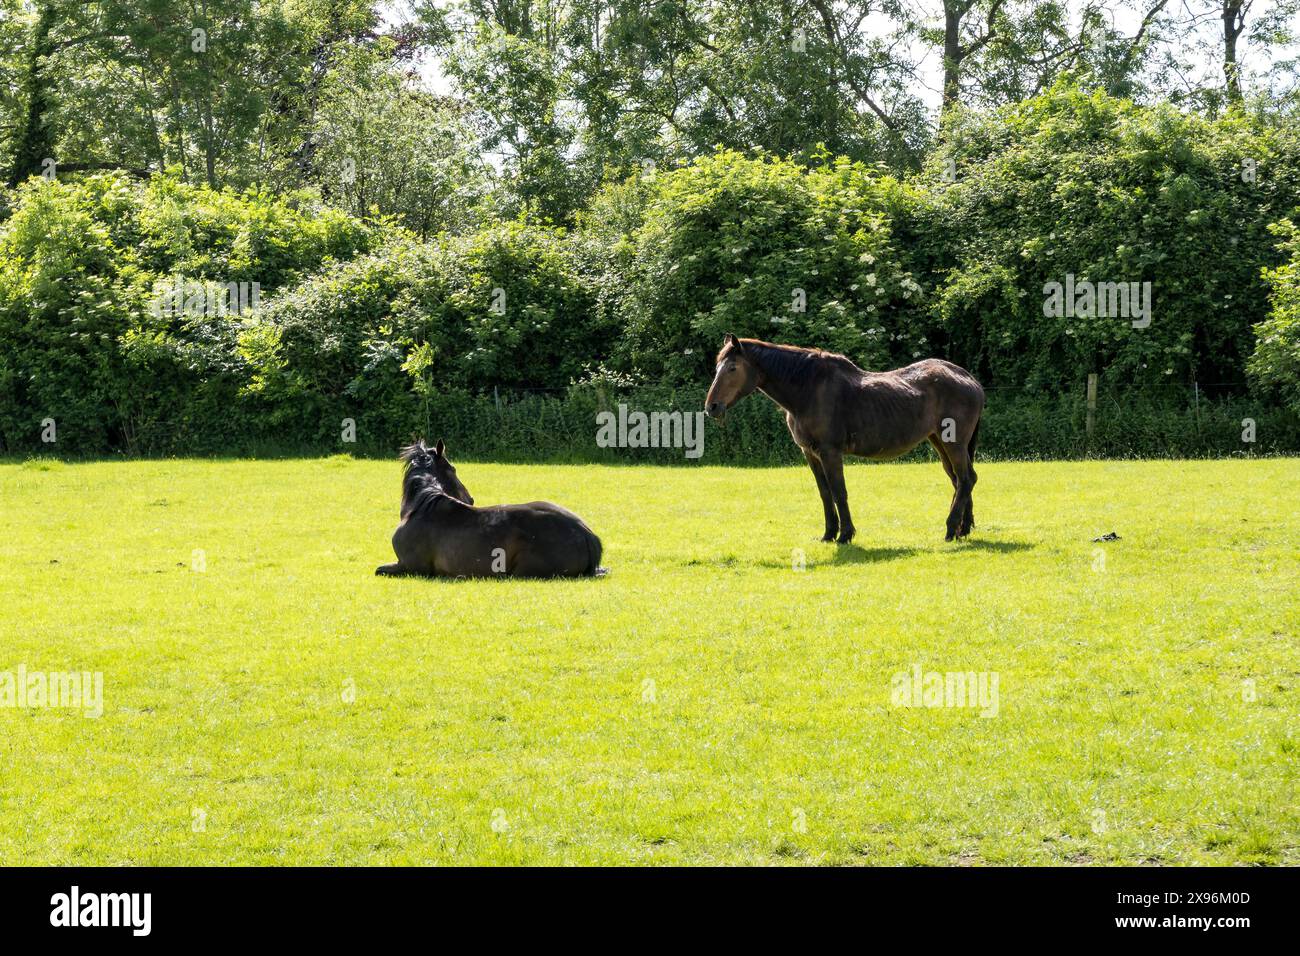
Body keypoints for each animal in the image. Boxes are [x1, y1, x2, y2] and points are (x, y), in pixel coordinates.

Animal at [707, 335, 987, 546]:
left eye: (732, 368)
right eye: (717, 368)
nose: (712, 407)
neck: (808, 389)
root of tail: (970, 380)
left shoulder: (830, 452)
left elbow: (838, 491)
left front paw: (845, 535)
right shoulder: (810, 454)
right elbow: (824, 493)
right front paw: (829, 533)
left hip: (954, 444)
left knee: (965, 479)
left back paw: (950, 529)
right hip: (940, 441)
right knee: (960, 480)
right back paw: (963, 528)